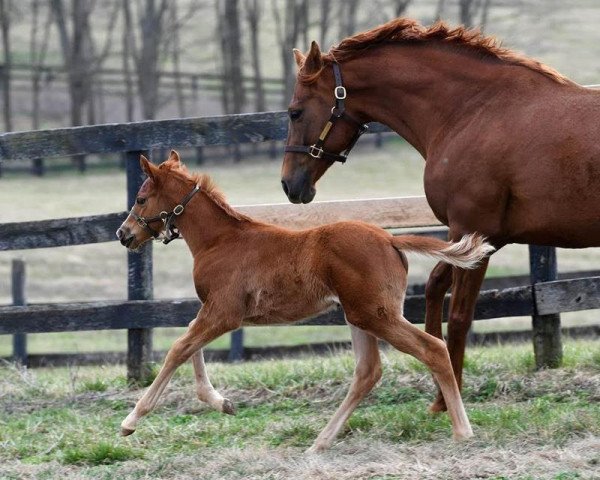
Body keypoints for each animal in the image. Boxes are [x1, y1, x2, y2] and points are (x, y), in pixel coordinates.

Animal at [116, 152, 492, 452]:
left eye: (141, 198)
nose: (123, 234)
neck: (220, 241)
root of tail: (390, 239)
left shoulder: (224, 313)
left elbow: (179, 348)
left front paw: (131, 421)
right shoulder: (215, 311)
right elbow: (191, 345)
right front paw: (221, 403)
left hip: (376, 315)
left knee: (432, 349)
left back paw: (462, 431)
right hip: (359, 315)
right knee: (368, 371)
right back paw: (321, 442)